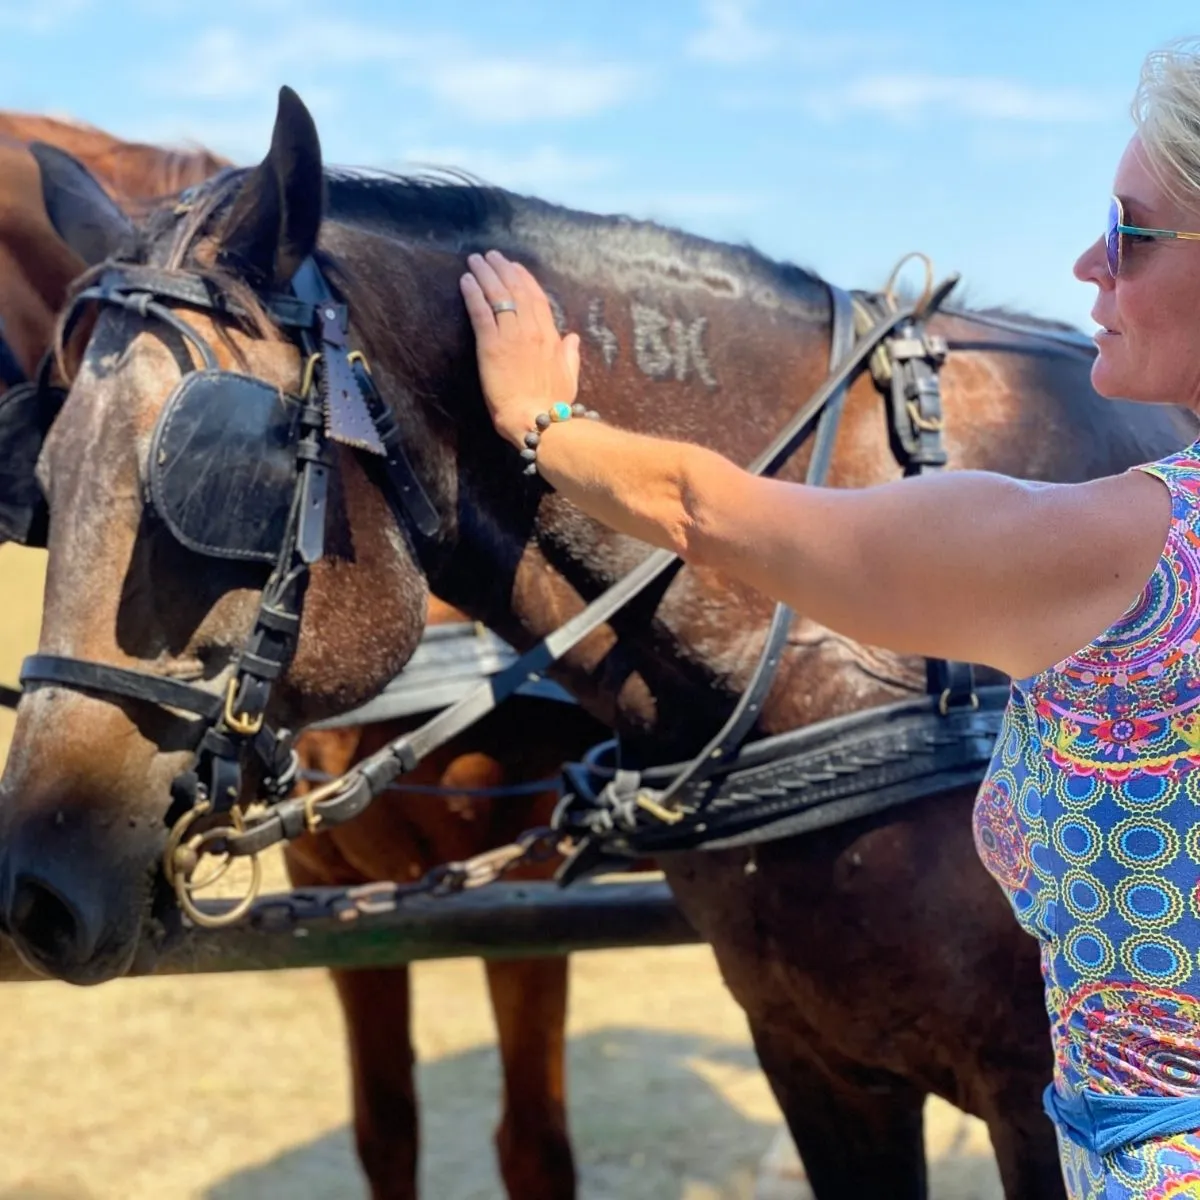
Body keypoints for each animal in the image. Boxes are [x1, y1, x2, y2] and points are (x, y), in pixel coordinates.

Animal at [0, 114, 619, 1200]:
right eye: (43, 471)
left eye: (209, 477)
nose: (35, 894)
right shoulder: (336, 885)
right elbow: (386, 1129)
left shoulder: (530, 878)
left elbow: (534, 1146)